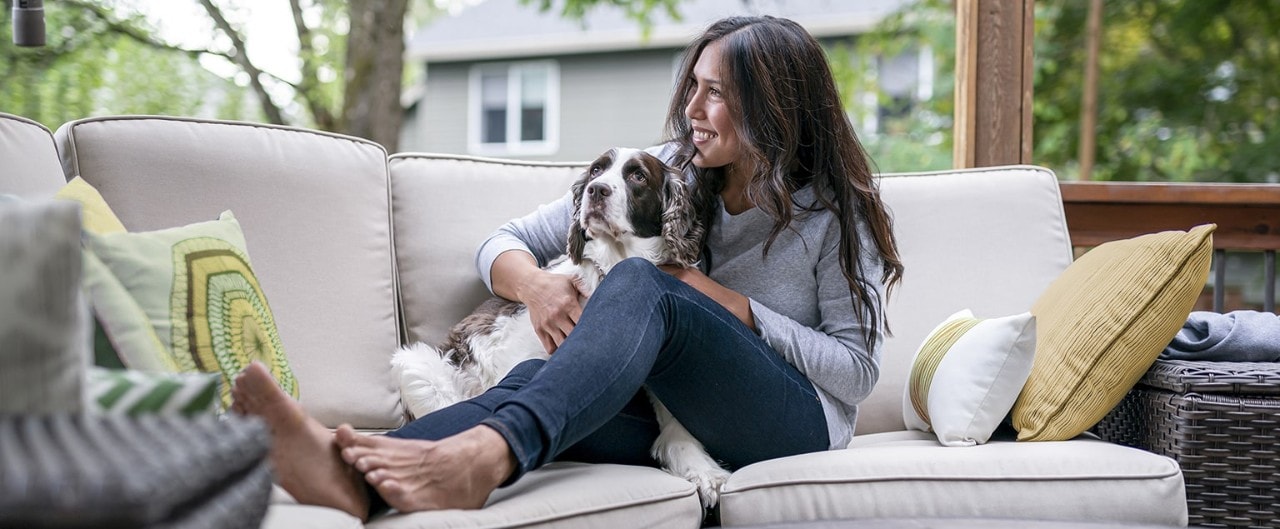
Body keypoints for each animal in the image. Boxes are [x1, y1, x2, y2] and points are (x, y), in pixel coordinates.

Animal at [389, 147, 732, 507]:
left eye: (638, 176)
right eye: (596, 170)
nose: (597, 190)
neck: (614, 265)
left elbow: (677, 422)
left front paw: (704, 471)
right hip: (416, 364)